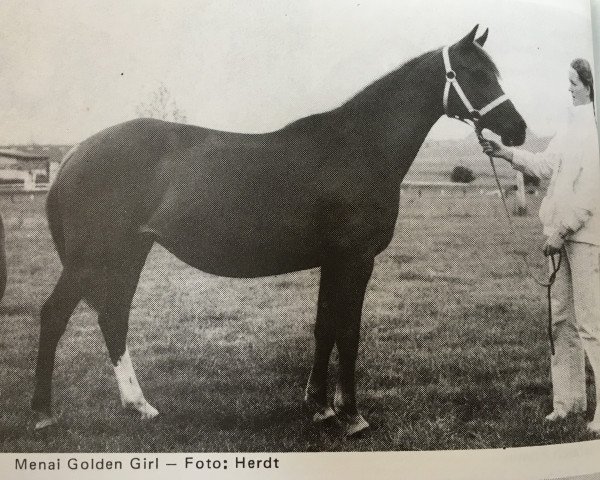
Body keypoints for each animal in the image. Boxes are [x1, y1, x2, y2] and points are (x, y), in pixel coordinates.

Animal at [35, 26, 528, 436]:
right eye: (476, 74)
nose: (518, 130)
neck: (357, 147)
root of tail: (76, 153)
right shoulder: (355, 259)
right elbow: (348, 332)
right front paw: (352, 416)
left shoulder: (333, 261)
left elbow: (325, 328)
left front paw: (320, 407)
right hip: (92, 258)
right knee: (55, 315)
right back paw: (43, 414)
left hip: (128, 252)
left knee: (113, 317)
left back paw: (139, 406)